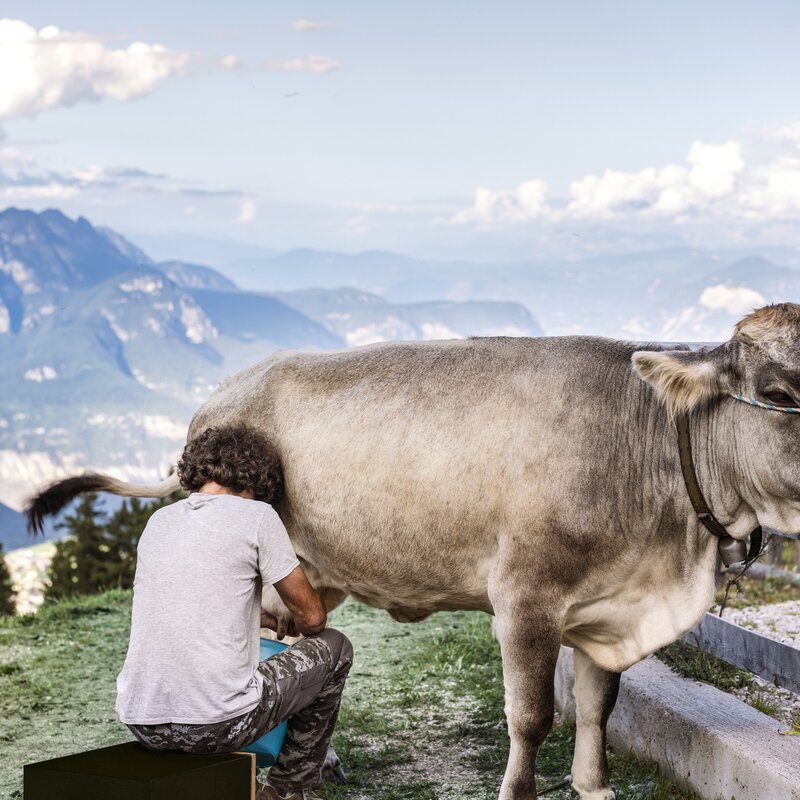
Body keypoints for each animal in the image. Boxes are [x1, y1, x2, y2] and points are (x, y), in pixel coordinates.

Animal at [28, 302, 800, 800]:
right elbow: (533, 716)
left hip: (313, 570)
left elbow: (598, 707)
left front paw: (593, 787)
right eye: (779, 392)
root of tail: (220, 397)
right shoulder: (526, 600)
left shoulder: (607, 607)